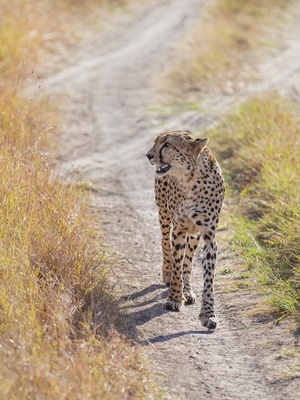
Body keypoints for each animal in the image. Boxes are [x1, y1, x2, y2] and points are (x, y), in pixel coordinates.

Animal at [146, 130, 224, 330]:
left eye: (167, 144)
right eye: (156, 142)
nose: (148, 155)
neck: (191, 179)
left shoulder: (208, 235)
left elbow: (208, 277)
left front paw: (208, 314)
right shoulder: (179, 229)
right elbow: (177, 264)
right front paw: (174, 298)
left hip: (194, 233)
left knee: (188, 259)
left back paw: (188, 290)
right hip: (164, 215)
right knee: (165, 243)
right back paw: (168, 273)